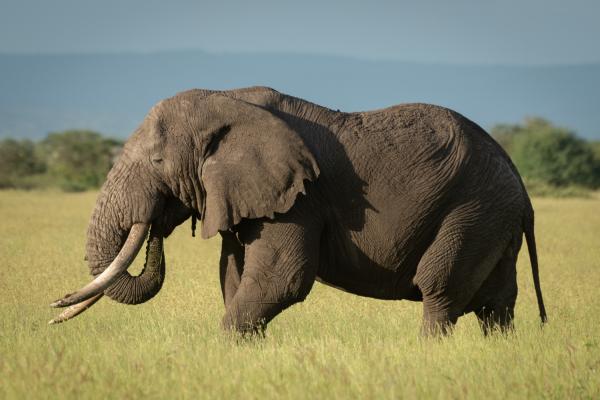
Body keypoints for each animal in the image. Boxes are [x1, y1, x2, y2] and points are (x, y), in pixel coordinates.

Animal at [50, 86, 548, 336]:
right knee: (495, 303)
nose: (54, 308)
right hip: (493, 218)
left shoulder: (300, 198)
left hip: (473, 209)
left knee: (440, 289)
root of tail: (519, 182)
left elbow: (281, 279)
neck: (228, 100)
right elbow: (233, 277)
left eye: (157, 162)